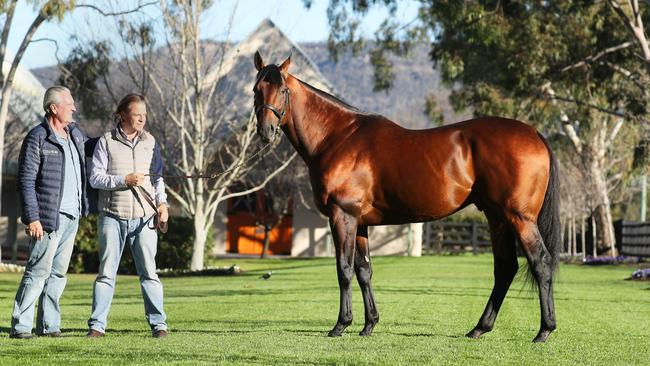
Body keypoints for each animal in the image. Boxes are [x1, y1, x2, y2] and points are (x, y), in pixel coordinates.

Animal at [251, 52, 560, 344]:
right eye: (256, 89)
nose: (266, 132)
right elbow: (364, 270)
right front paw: (369, 325)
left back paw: (544, 331)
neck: (337, 138)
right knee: (505, 268)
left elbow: (344, 269)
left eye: (282, 90)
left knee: (541, 263)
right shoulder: (360, 223)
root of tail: (535, 133)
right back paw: (480, 328)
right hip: (497, 218)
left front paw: (341, 325)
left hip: (519, 218)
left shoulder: (342, 215)